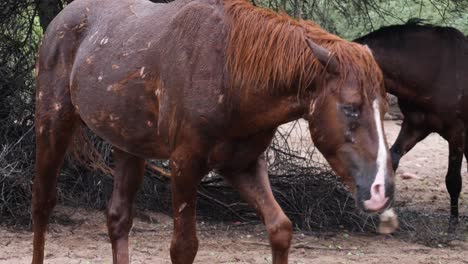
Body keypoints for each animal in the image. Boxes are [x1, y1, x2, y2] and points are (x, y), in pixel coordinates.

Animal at [32, 0, 392, 264]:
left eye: (385, 108)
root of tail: (60, 19)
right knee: (43, 205)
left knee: (118, 218)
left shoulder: (241, 165)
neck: (230, 72)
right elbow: (184, 246)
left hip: (128, 146)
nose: (380, 190)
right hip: (53, 126)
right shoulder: (185, 165)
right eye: (350, 107)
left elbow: (280, 228)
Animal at [354, 21, 468, 231]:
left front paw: (453, 223)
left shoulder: (456, 132)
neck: (435, 73)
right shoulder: (415, 127)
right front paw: (385, 214)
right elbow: (392, 160)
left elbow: (453, 179)